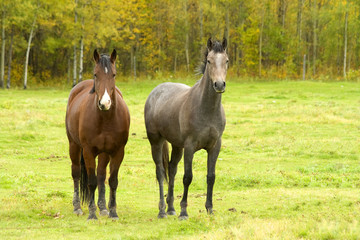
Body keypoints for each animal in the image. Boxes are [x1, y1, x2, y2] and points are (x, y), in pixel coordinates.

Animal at [65, 49, 130, 220]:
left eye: (113, 74)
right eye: (96, 74)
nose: (104, 103)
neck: (105, 119)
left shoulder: (117, 151)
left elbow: (112, 180)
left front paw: (112, 212)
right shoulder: (88, 151)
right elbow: (91, 182)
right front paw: (92, 213)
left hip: (104, 152)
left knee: (101, 175)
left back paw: (103, 208)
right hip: (74, 146)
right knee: (76, 173)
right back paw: (77, 207)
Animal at [144, 37, 226, 219]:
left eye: (226, 61)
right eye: (209, 61)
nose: (219, 85)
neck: (206, 108)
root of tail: (155, 92)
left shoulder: (215, 146)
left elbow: (211, 177)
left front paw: (209, 209)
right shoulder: (190, 146)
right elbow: (188, 177)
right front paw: (183, 211)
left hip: (176, 145)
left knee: (172, 169)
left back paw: (170, 208)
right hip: (156, 141)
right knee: (161, 172)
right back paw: (162, 210)